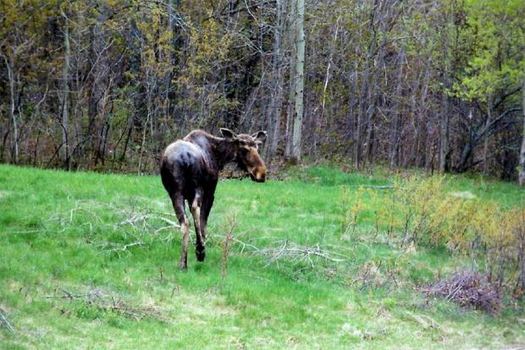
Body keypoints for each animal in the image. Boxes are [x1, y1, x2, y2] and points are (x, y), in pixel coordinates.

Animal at [160, 128, 266, 268]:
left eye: (257, 147)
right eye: (243, 149)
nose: (262, 173)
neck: (219, 156)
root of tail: (184, 158)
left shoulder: (186, 195)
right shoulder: (210, 191)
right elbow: (203, 221)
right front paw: (200, 250)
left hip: (175, 192)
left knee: (184, 222)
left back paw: (183, 263)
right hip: (198, 187)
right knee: (196, 210)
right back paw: (200, 251)